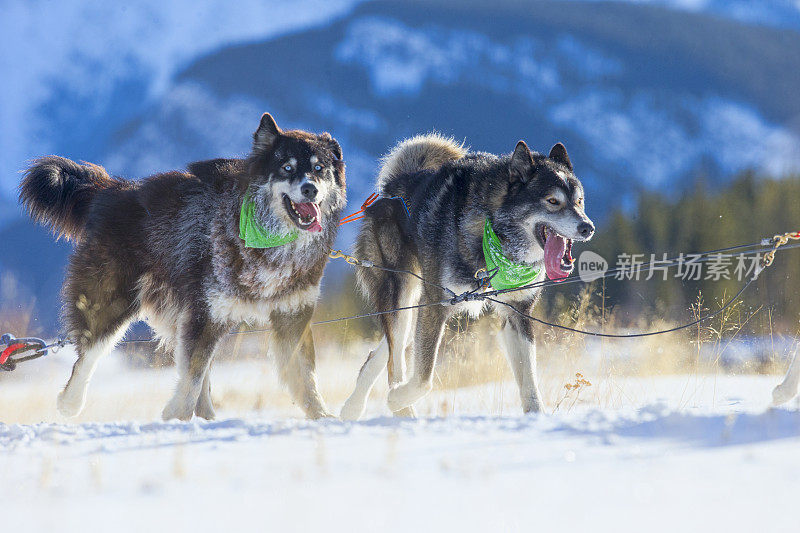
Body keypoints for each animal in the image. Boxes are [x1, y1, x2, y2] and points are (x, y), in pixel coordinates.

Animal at [340, 135, 592, 418]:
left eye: (579, 201)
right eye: (552, 201)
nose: (588, 227)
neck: (492, 229)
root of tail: (393, 186)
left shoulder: (517, 312)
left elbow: (530, 382)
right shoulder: (437, 304)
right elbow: (424, 378)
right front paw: (397, 398)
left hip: (413, 307)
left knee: (383, 353)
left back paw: (354, 406)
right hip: (401, 294)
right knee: (396, 364)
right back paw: (400, 409)